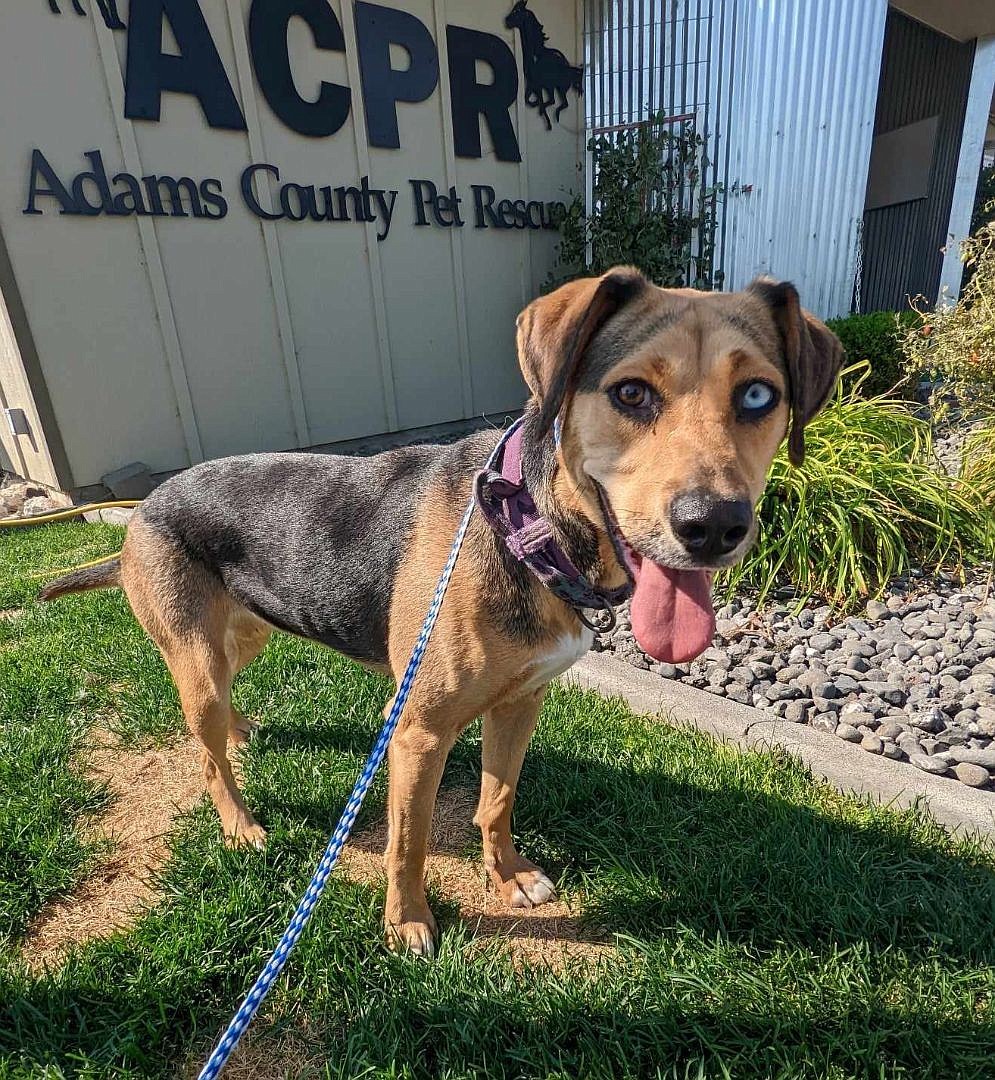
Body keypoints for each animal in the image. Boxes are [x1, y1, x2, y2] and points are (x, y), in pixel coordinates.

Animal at [44, 267, 838, 954]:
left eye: (758, 396)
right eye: (633, 394)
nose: (714, 526)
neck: (526, 526)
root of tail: (144, 505)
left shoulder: (521, 702)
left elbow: (497, 800)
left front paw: (509, 876)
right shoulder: (418, 732)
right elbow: (408, 842)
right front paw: (406, 924)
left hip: (247, 632)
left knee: (221, 712)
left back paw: (241, 732)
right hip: (199, 657)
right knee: (205, 755)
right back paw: (240, 824)